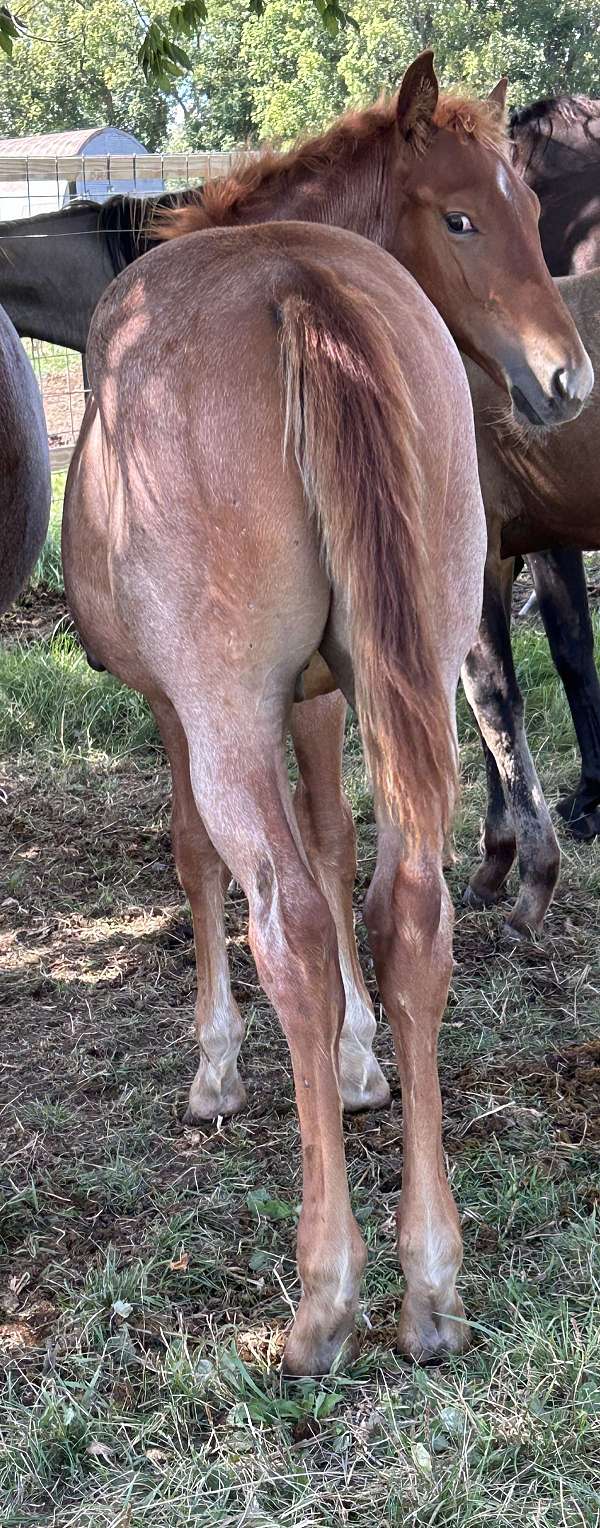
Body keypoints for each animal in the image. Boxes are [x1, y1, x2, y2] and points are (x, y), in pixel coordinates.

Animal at [62, 55, 590, 1374]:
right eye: (464, 217)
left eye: (528, 206)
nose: (569, 379)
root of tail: (298, 285)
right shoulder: (326, 695)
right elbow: (340, 840)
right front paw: (359, 1063)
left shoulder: (190, 707)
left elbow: (204, 860)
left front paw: (216, 1067)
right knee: (412, 909)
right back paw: (431, 1281)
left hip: (226, 710)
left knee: (288, 924)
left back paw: (326, 1297)